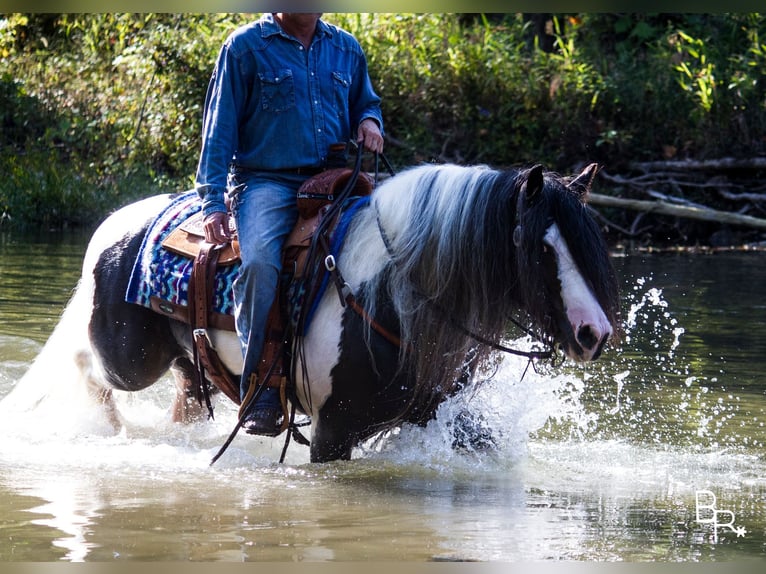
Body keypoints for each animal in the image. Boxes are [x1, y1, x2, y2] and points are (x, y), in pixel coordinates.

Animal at [24, 162, 624, 464]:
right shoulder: (335, 431)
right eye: (540, 248)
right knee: (85, 366)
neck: (390, 299)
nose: (593, 333)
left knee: (185, 394)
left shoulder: (440, 417)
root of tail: (116, 224)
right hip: (128, 359)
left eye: (588, 241)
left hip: (185, 361)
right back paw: (104, 426)